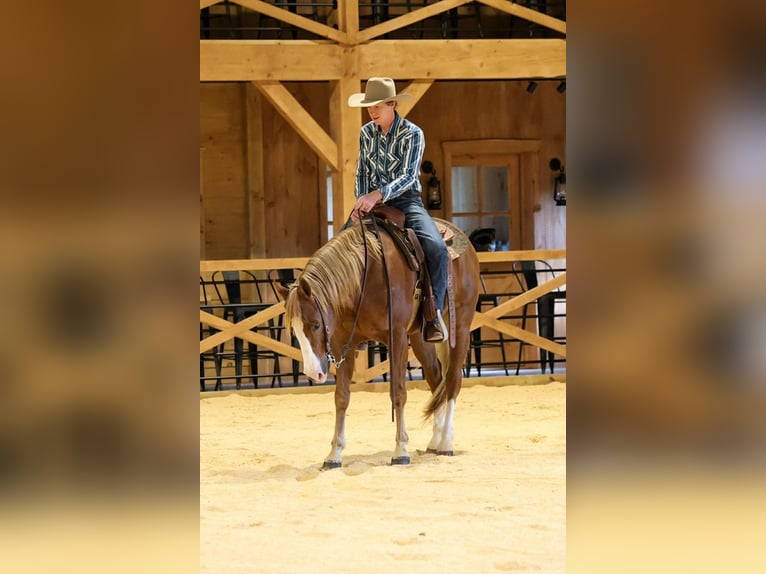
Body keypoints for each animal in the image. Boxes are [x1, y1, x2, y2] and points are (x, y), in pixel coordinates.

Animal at [276, 217, 480, 468]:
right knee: (436, 379)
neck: (365, 274)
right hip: (420, 337)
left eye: (315, 325)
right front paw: (334, 454)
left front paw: (401, 450)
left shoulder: (397, 337)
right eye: (293, 331)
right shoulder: (345, 342)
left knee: (451, 382)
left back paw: (446, 443)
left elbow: (399, 392)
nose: (314, 374)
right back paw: (435, 441)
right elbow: (341, 397)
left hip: (460, 327)